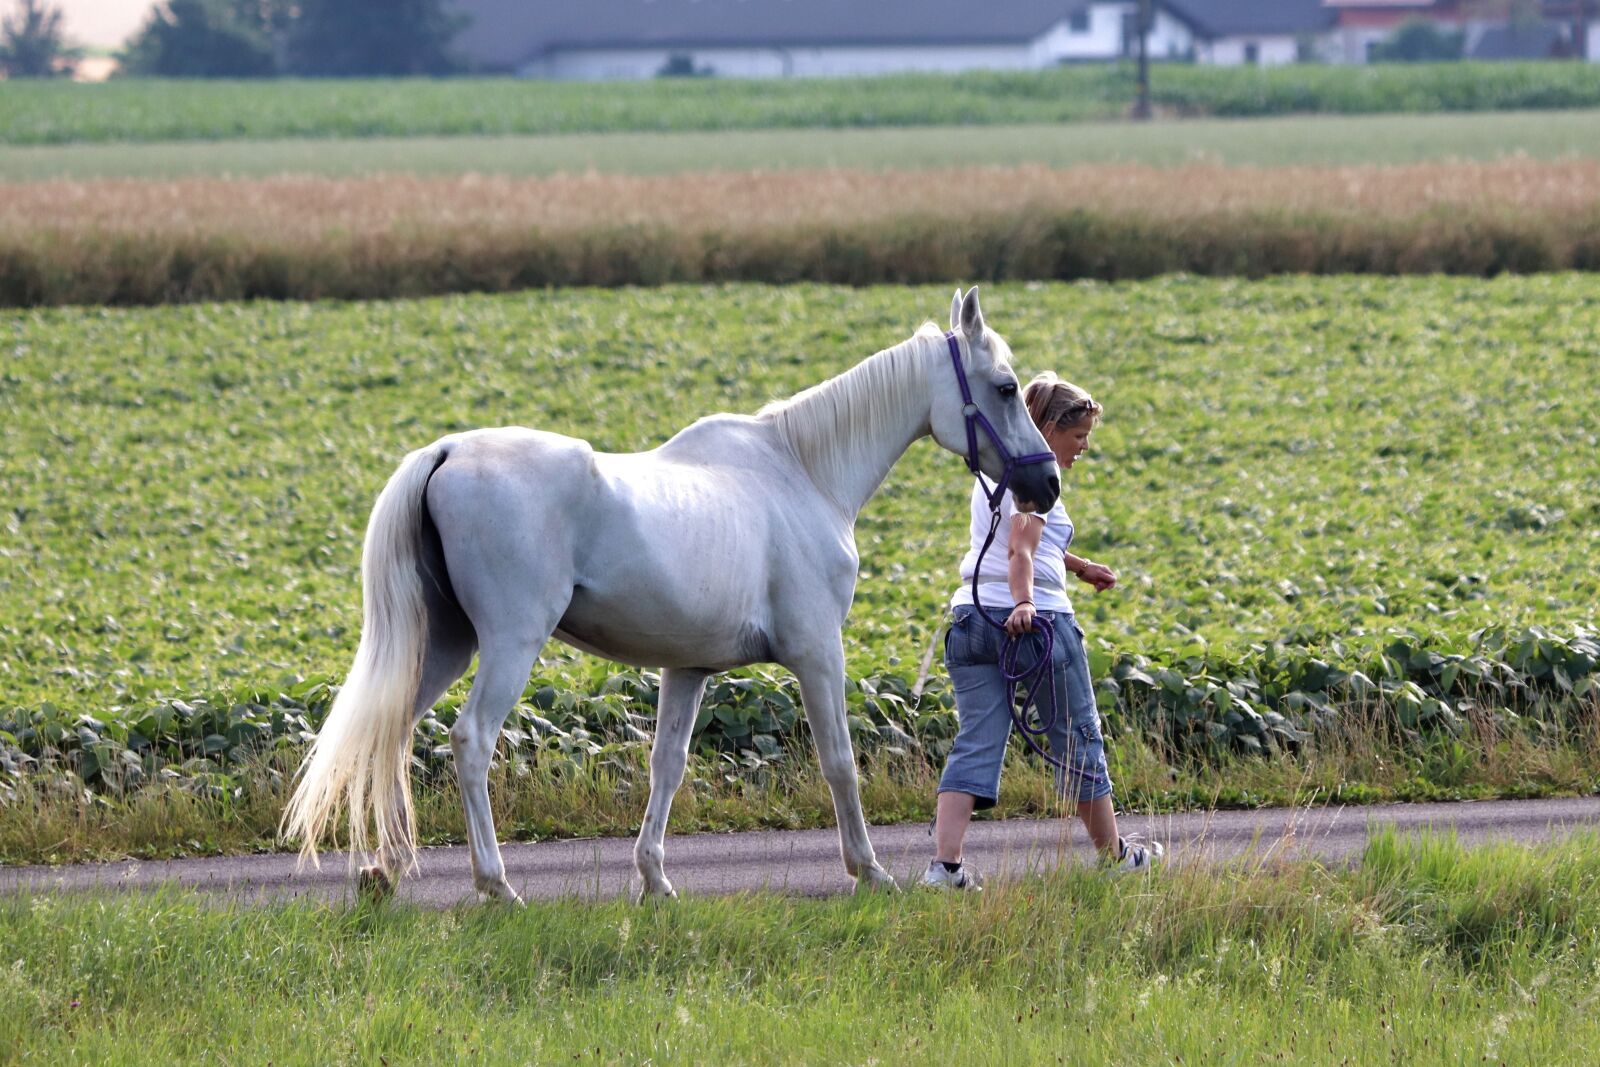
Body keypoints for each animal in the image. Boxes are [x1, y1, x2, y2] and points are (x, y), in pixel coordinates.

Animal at [281, 287, 1060, 904]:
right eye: (1003, 386)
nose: (1045, 482)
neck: (802, 470)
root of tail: (445, 453)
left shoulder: (687, 669)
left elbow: (668, 767)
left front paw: (654, 877)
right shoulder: (818, 654)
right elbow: (839, 761)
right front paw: (869, 870)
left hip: (444, 644)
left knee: (387, 733)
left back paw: (382, 871)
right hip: (508, 644)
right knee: (470, 741)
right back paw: (496, 883)